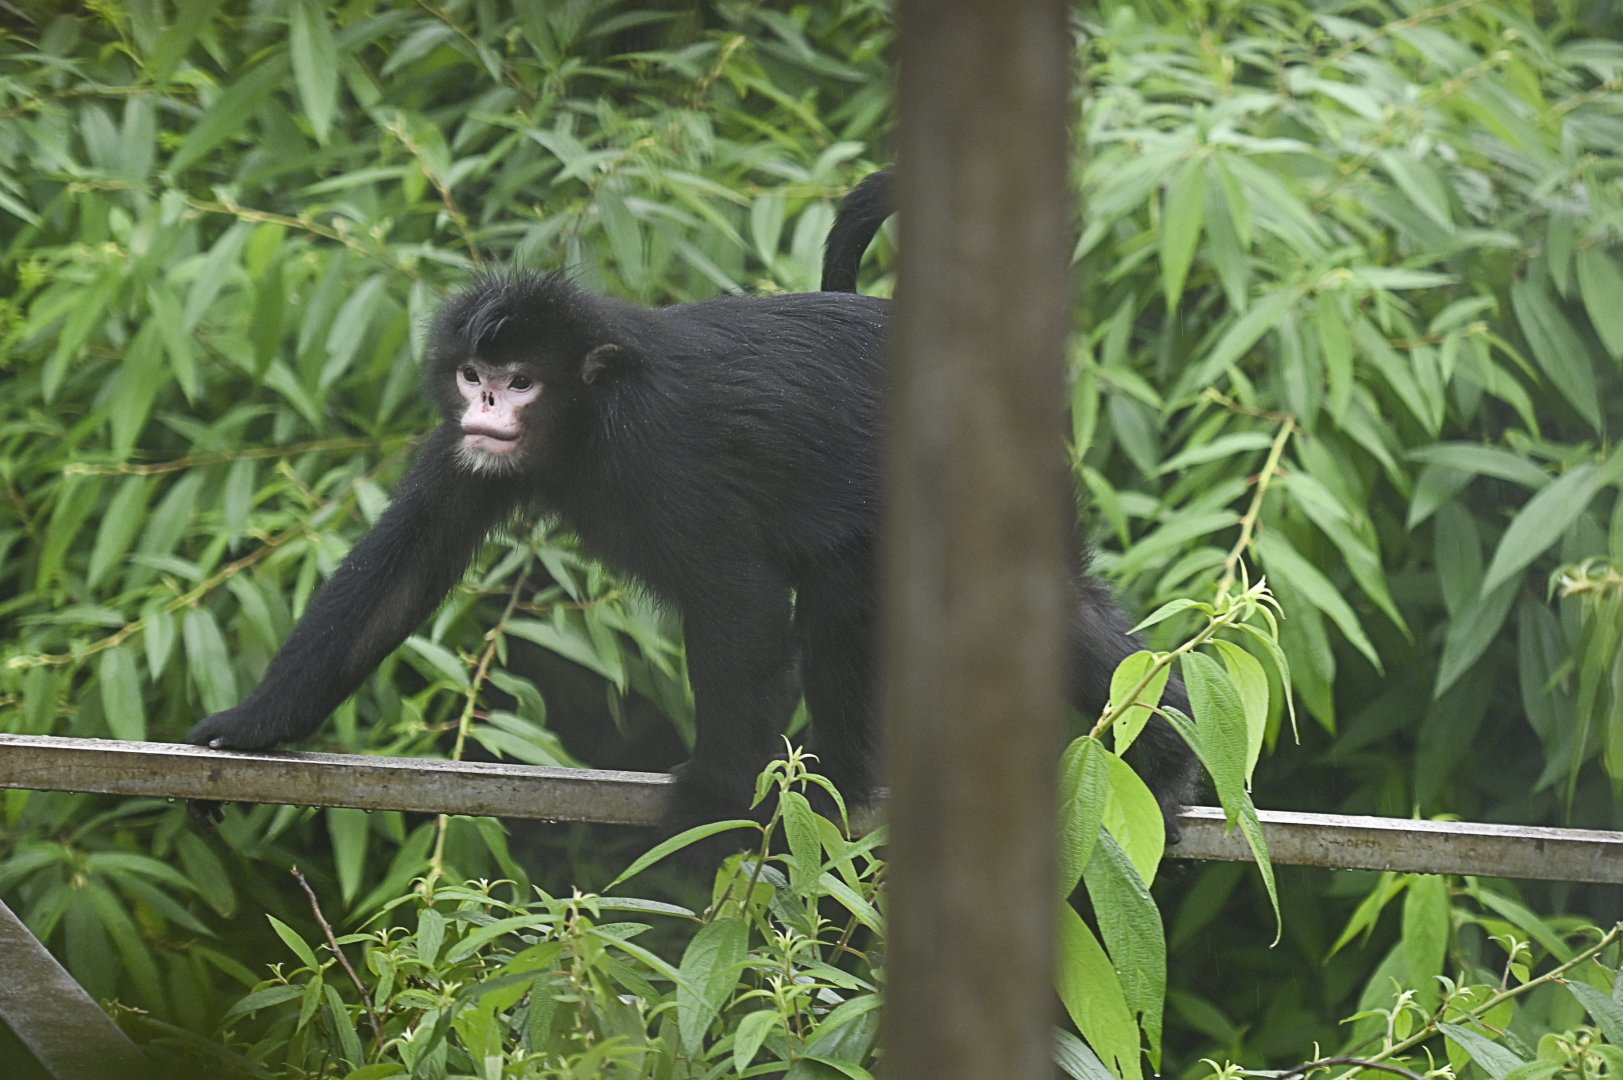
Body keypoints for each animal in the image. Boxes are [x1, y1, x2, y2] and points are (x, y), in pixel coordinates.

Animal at [191, 173, 1199, 837]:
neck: (591, 414)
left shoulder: (659, 451)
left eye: (521, 382)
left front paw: (714, 789)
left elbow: (738, 603)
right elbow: (405, 569)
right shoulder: (462, 452)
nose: (485, 409)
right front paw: (249, 727)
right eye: (475, 376)